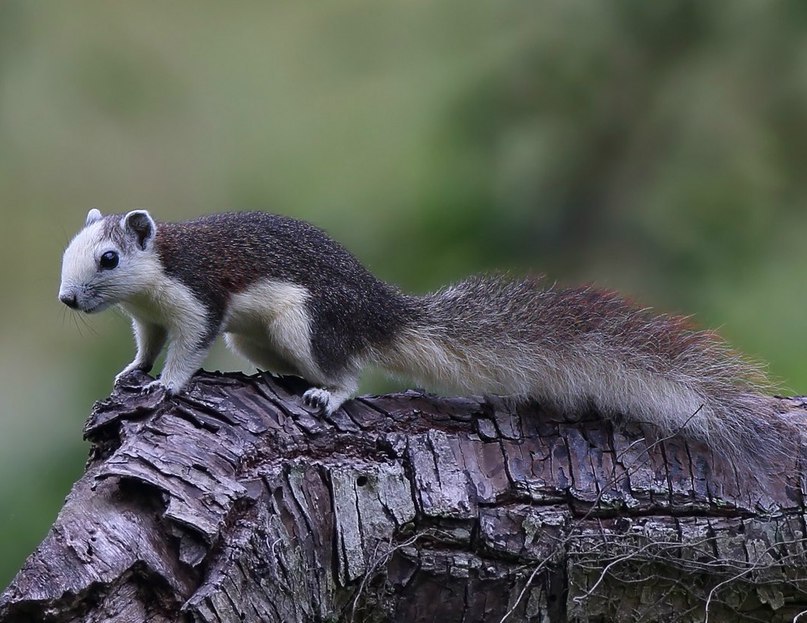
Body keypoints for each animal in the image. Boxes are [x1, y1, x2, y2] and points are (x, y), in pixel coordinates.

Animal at [60, 208, 792, 464]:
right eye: (67, 251)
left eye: (108, 258)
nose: (67, 299)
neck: (156, 275)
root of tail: (379, 311)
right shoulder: (149, 317)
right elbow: (146, 346)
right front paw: (132, 373)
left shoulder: (198, 300)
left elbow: (187, 351)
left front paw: (165, 388)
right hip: (262, 338)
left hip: (307, 321)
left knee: (348, 371)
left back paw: (328, 395)